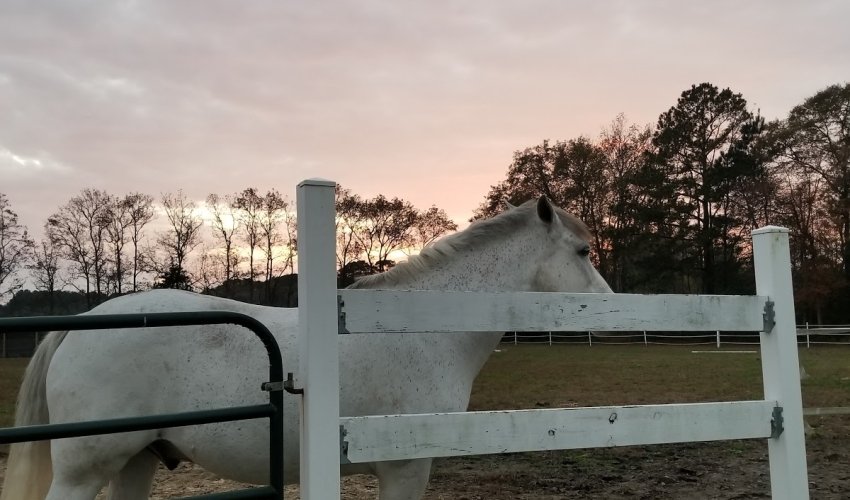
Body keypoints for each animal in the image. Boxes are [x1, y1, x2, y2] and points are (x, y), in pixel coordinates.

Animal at [0, 196, 608, 500]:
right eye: (582, 252)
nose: (608, 306)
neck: (416, 328)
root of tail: (84, 323)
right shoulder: (405, 466)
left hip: (137, 461)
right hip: (85, 471)